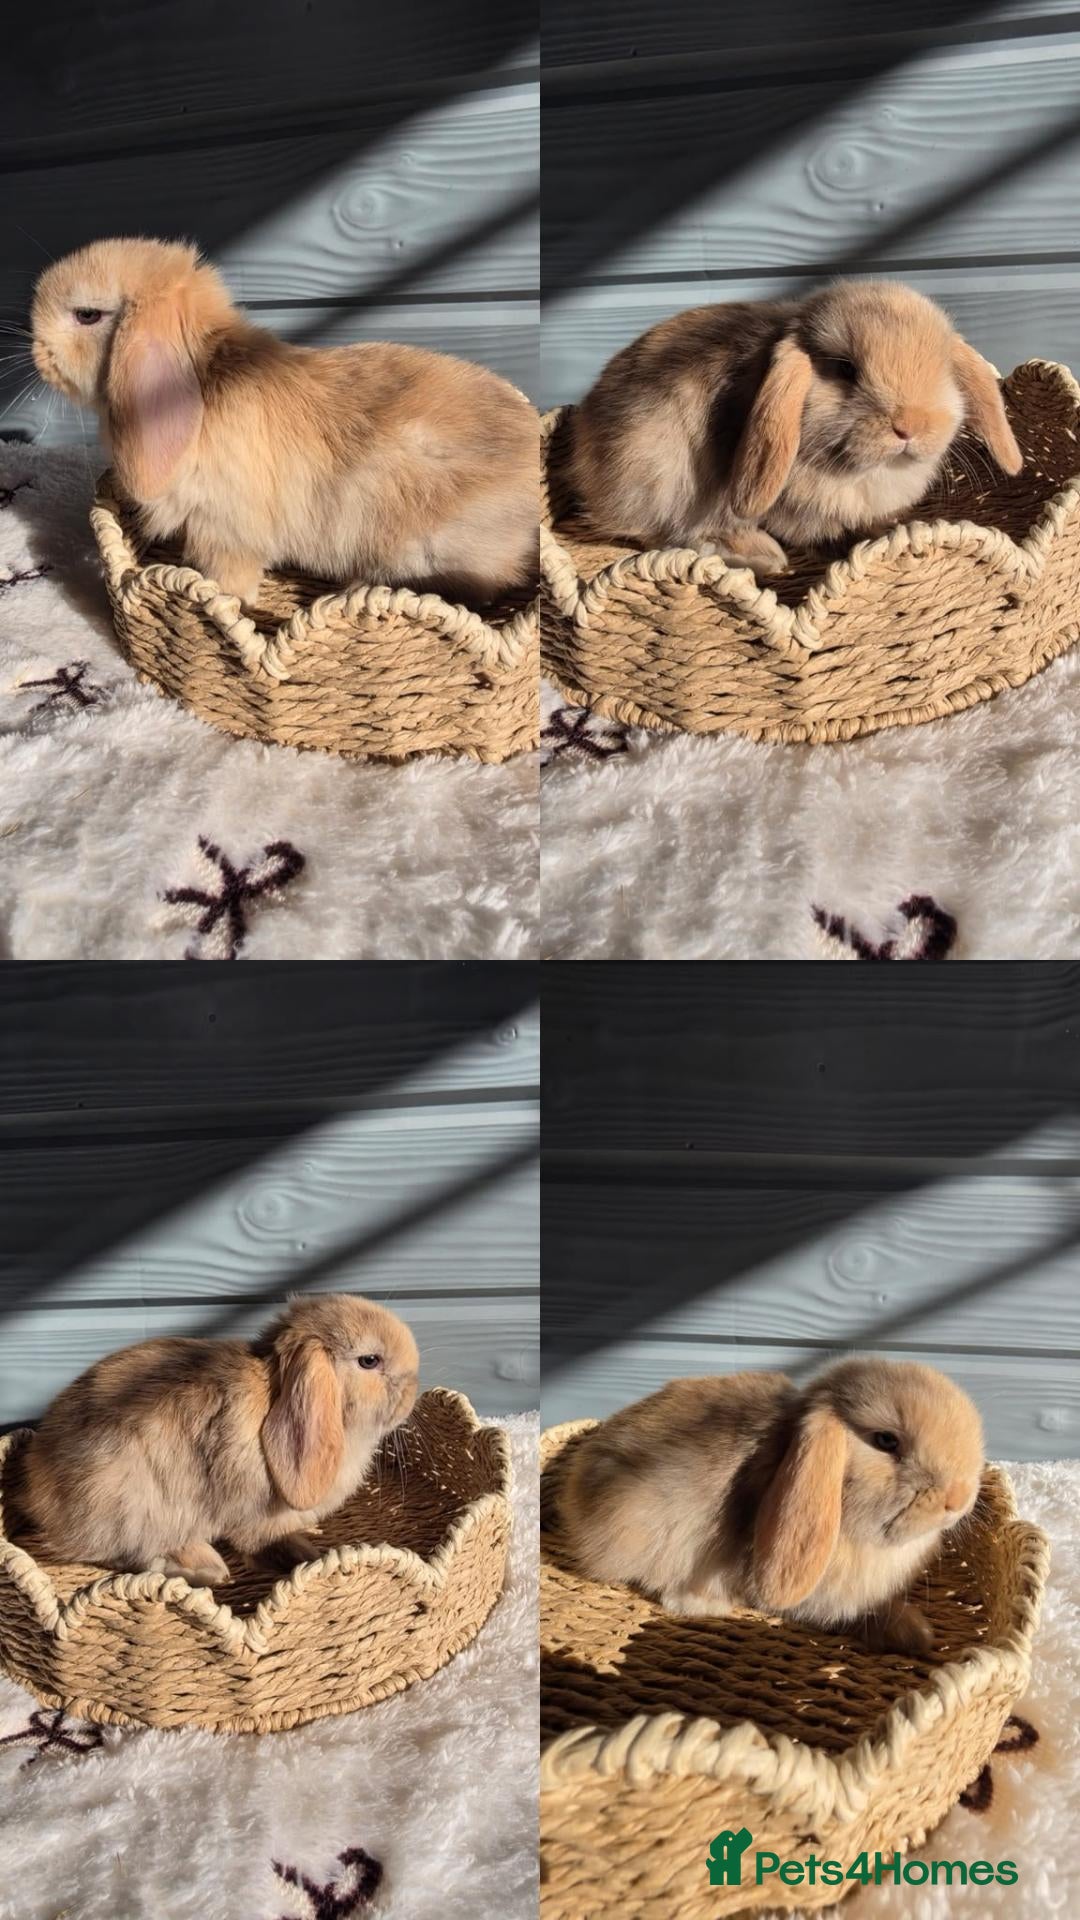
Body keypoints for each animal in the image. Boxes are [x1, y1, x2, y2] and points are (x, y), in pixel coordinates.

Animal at [15, 1293, 419, 1586]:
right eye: (369, 1361)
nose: (414, 1390)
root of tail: (40, 1498)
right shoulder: (253, 1519)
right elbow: (260, 1543)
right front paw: (307, 1555)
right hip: (135, 1509)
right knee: (125, 1554)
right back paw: (204, 1568)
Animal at [30, 236, 539, 608]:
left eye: (87, 315)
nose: (36, 354)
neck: (205, 378)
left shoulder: (224, 531)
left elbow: (230, 579)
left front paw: (229, 602)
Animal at [569, 281, 1023, 576]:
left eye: (942, 367)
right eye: (845, 369)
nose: (909, 425)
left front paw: (894, 530)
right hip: (661, 476)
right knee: (668, 534)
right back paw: (760, 555)